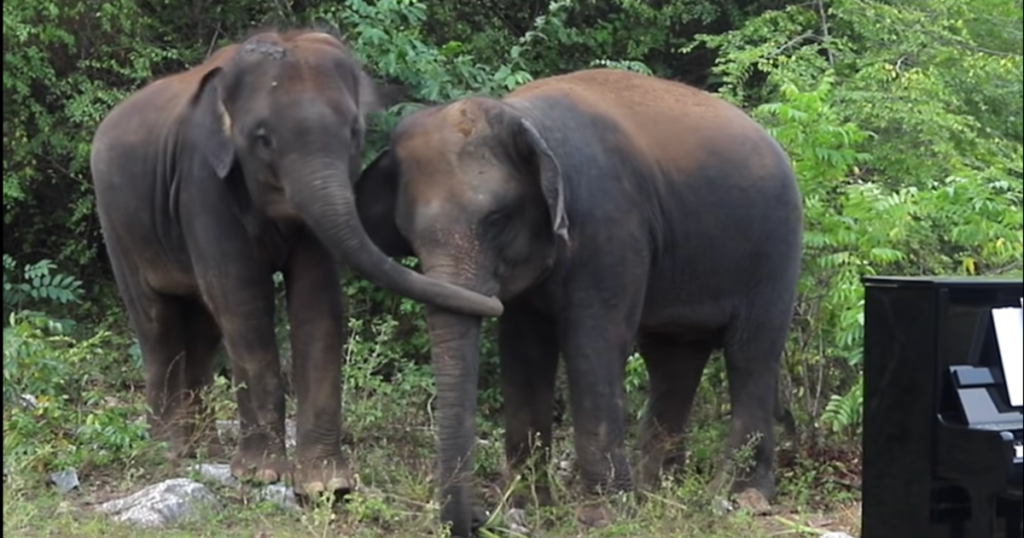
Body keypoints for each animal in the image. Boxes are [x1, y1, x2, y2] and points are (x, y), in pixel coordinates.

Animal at [88, 27, 503, 493]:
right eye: (263, 139)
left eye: (355, 131)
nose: (496, 301)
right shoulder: (202, 183)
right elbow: (242, 299)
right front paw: (262, 474)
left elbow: (317, 301)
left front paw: (327, 485)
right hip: (117, 221)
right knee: (157, 322)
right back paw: (167, 449)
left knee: (203, 327)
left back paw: (203, 450)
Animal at [356, 69, 802, 532]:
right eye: (409, 233)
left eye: (496, 220)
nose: (478, 519)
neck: (524, 118)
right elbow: (524, 350)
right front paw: (527, 509)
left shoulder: (611, 225)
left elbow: (594, 343)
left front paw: (601, 516)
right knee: (673, 358)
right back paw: (657, 494)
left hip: (776, 246)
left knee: (750, 353)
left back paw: (739, 498)